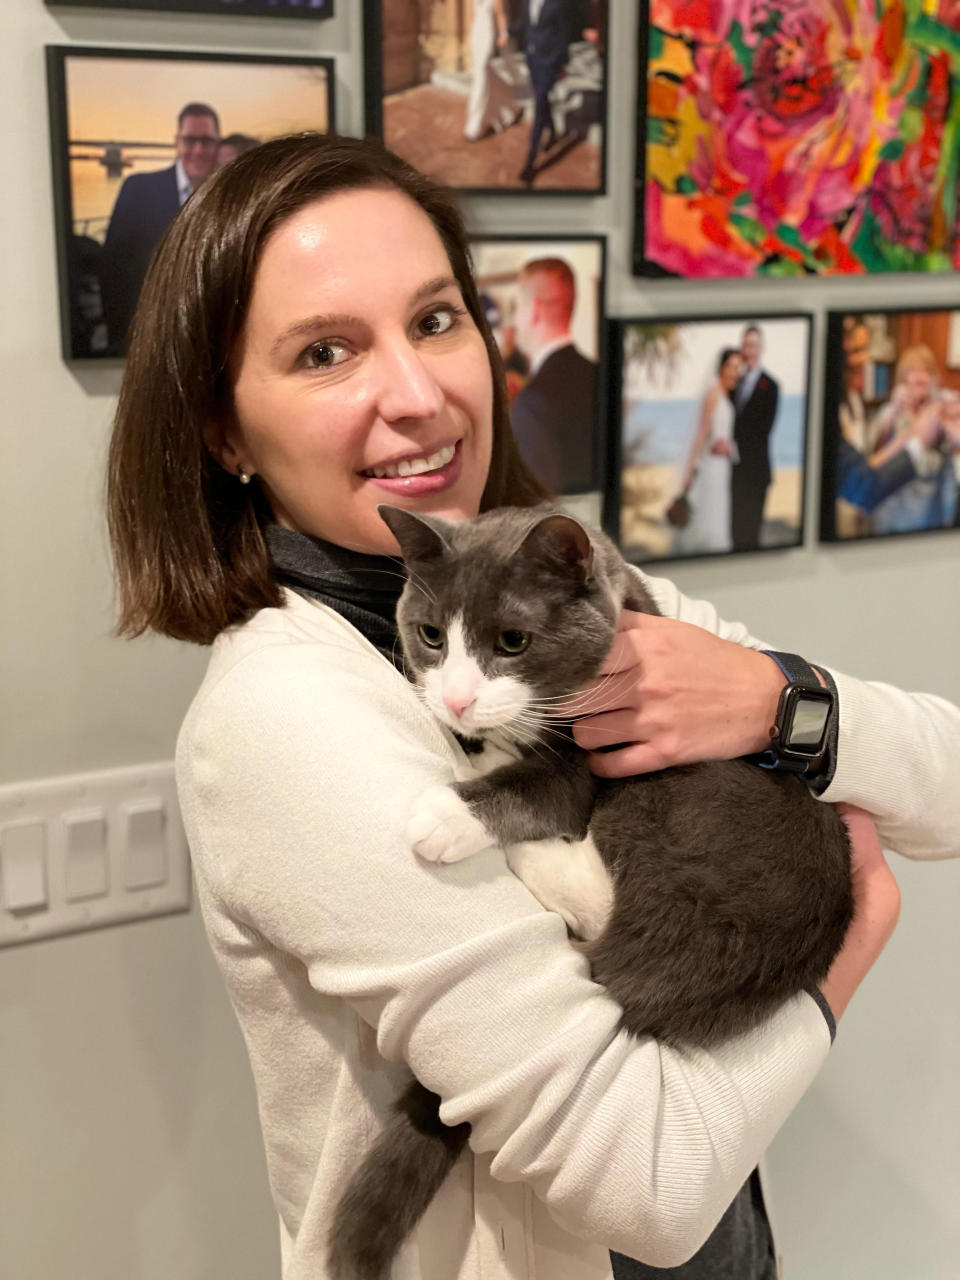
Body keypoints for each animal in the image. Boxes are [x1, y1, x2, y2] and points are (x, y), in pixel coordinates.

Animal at [330, 501, 849, 1280]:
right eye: (430, 634)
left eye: (512, 641)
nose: (456, 701)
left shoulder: (593, 760)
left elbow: (535, 787)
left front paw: (444, 812)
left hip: (669, 808)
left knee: (595, 891)